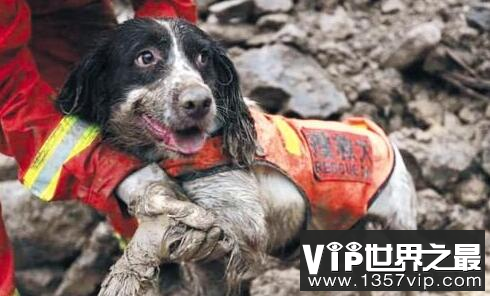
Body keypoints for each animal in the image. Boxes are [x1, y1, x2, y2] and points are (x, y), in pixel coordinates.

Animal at [56, 17, 418, 294]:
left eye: (203, 58)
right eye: (146, 56)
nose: (199, 102)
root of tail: (377, 132)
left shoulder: (239, 222)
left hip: (399, 223)